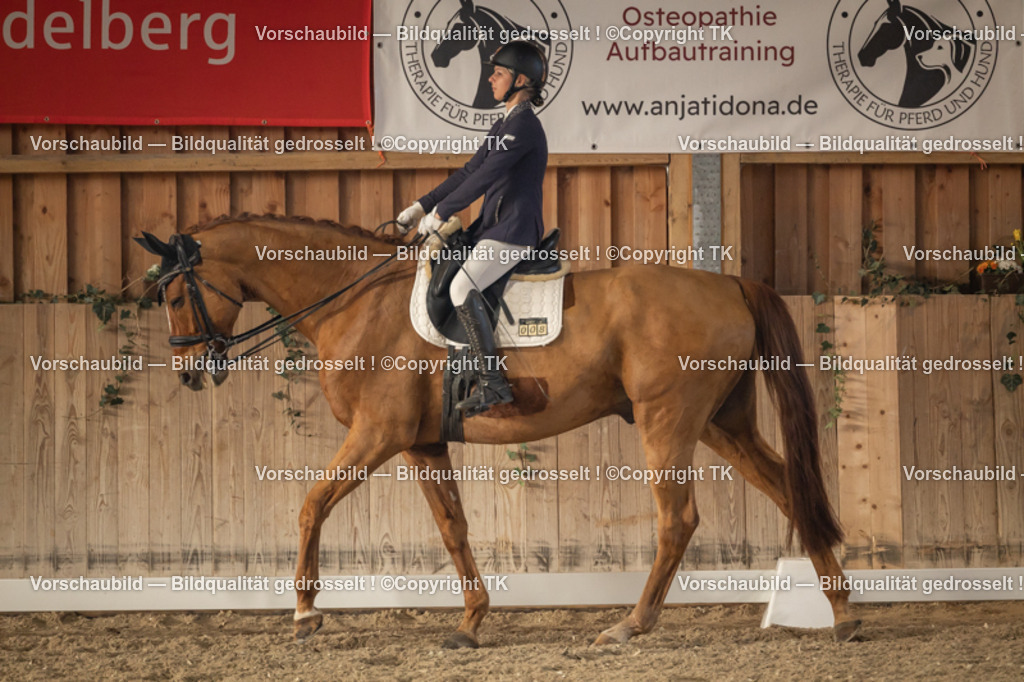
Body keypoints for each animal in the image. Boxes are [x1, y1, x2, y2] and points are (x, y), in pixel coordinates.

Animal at [135, 213, 862, 647]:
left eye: (172, 295)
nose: (191, 372)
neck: (354, 300)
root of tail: (729, 283)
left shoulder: (378, 433)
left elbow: (312, 504)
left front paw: (306, 612)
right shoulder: (421, 442)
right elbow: (453, 527)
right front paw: (471, 619)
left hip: (669, 419)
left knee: (678, 518)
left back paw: (630, 625)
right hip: (720, 423)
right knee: (791, 491)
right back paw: (843, 613)